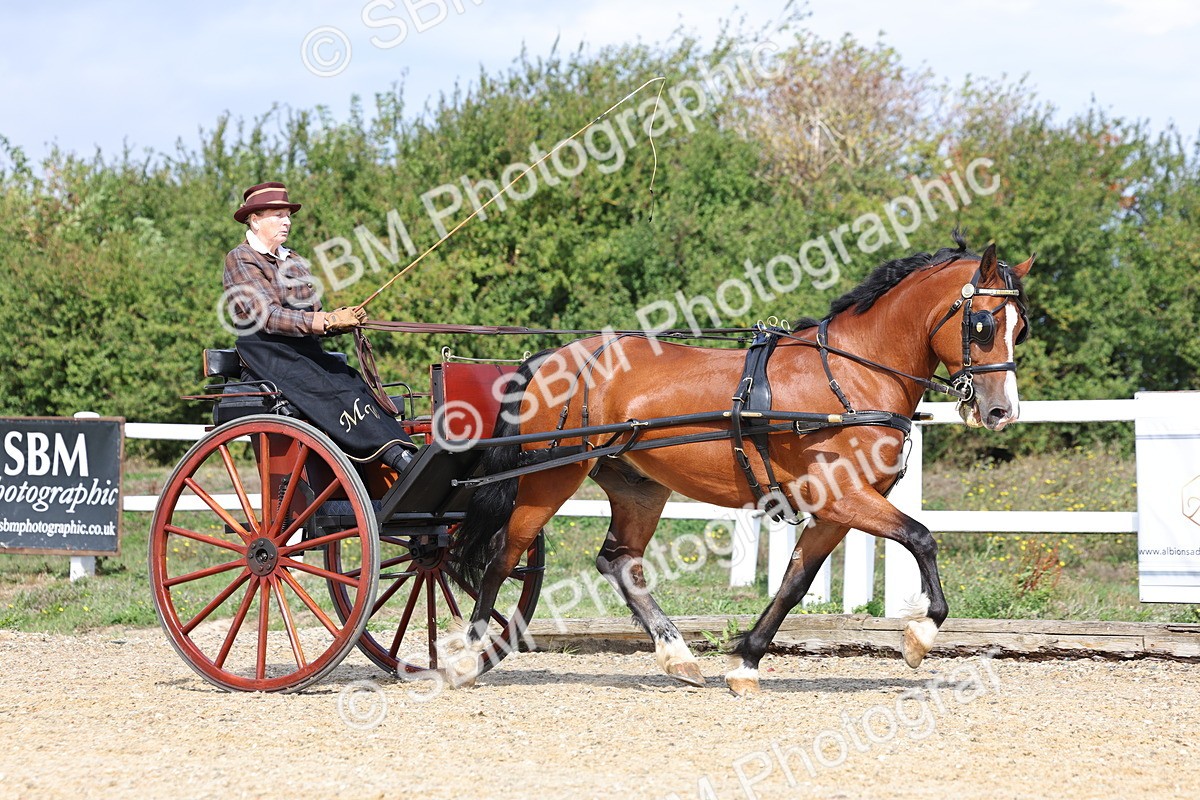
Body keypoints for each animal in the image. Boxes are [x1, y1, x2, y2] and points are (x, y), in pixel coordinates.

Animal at [452, 233, 1032, 695]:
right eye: (984, 324)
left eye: (1020, 328)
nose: (1001, 411)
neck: (851, 376)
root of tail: (554, 357)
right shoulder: (846, 496)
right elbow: (922, 537)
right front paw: (919, 637)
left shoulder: (835, 511)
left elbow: (795, 582)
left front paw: (746, 662)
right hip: (548, 477)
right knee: (504, 555)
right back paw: (466, 659)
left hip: (638, 485)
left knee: (619, 561)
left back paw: (678, 657)